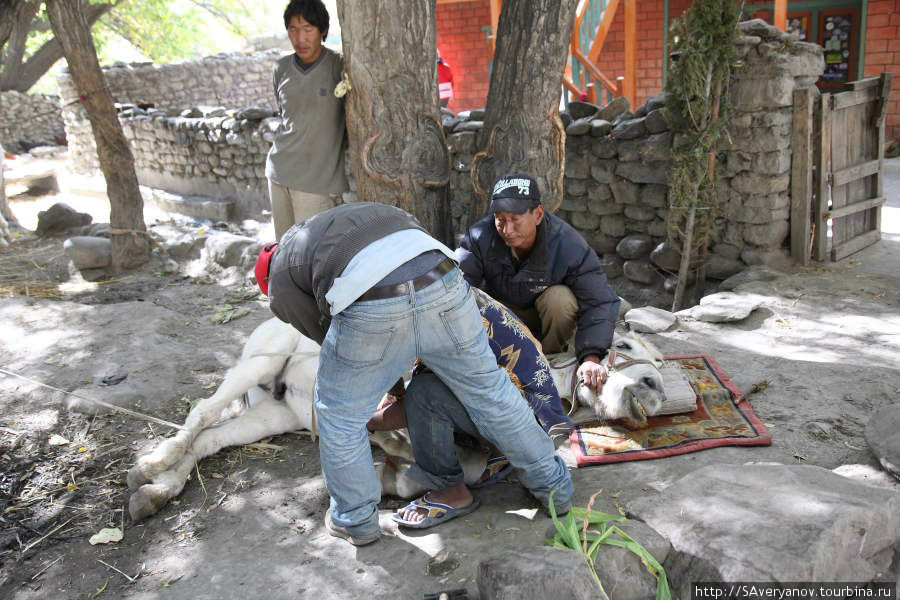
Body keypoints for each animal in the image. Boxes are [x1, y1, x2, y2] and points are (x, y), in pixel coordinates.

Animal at [126, 318, 664, 520]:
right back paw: (152, 466)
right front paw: (390, 452)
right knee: (202, 411)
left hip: (274, 413)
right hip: (262, 361)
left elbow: (420, 477)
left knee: (210, 440)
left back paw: (152, 492)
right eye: (624, 343)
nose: (655, 389)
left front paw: (390, 469)